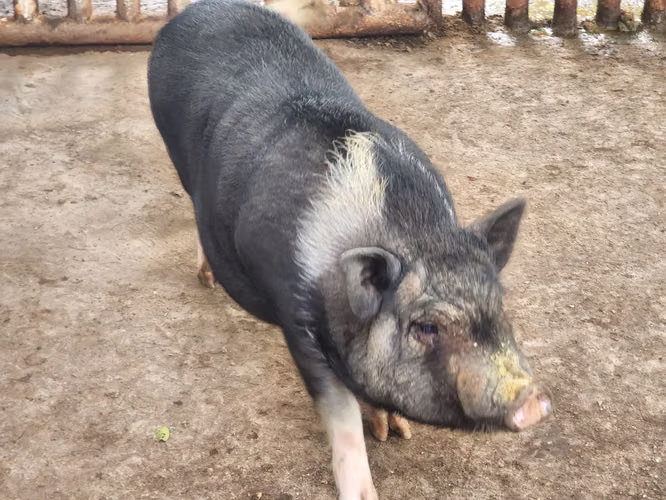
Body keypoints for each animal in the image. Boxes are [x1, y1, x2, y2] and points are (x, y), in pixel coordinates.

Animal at [147, 0, 552, 498]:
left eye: (500, 308)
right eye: (426, 327)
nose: (533, 402)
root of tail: (195, 10)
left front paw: (396, 430)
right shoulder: (297, 321)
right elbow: (341, 419)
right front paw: (365, 484)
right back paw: (205, 279)